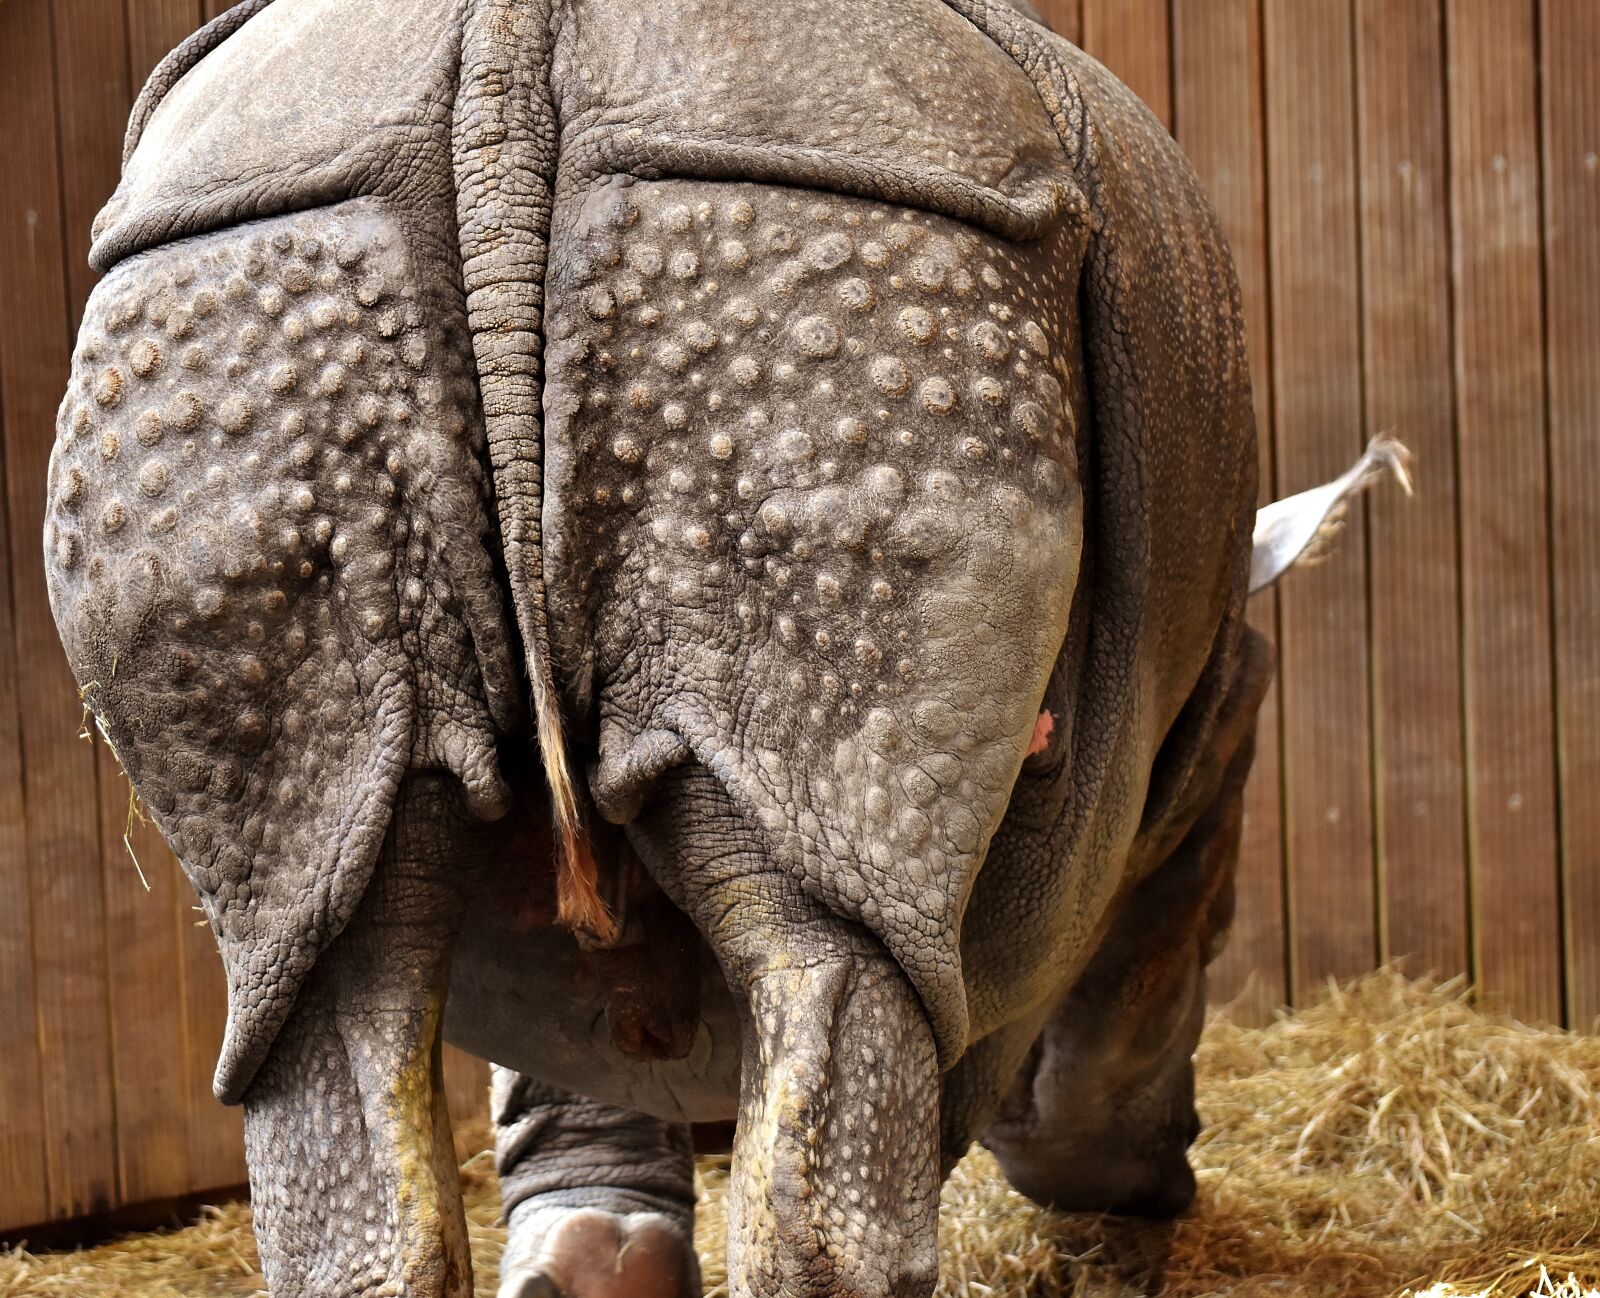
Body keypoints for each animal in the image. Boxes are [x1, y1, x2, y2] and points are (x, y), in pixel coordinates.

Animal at [44, 1, 1403, 1294]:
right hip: (840, 259)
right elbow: (1118, 1002)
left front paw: (595, 1254)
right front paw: (1115, 1229)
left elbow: (562, 1041)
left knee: (328, 966)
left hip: (259, 263)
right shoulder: (1192, 753)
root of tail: (503, 54)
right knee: (837, 958)